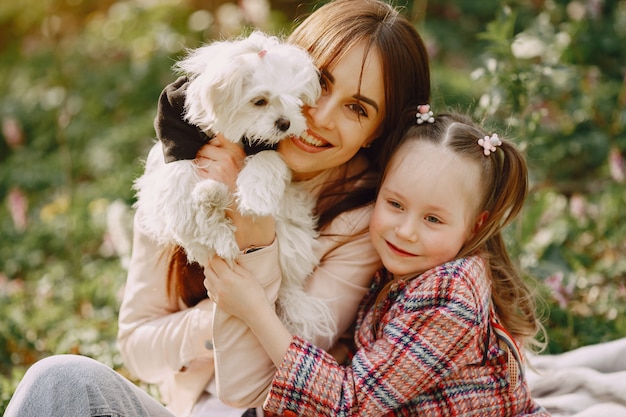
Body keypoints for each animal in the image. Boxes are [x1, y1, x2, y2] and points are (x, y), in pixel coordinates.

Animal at [133, 30, 334, 340]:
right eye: (260, 101)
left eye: (296, 100)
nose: (285, 124)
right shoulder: (174, 126)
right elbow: (179, 170)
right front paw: (184, 206)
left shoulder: (267, 146)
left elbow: (264, 162)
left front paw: (254, 200)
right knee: (203, 239)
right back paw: (212, 208)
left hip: (289, 239)